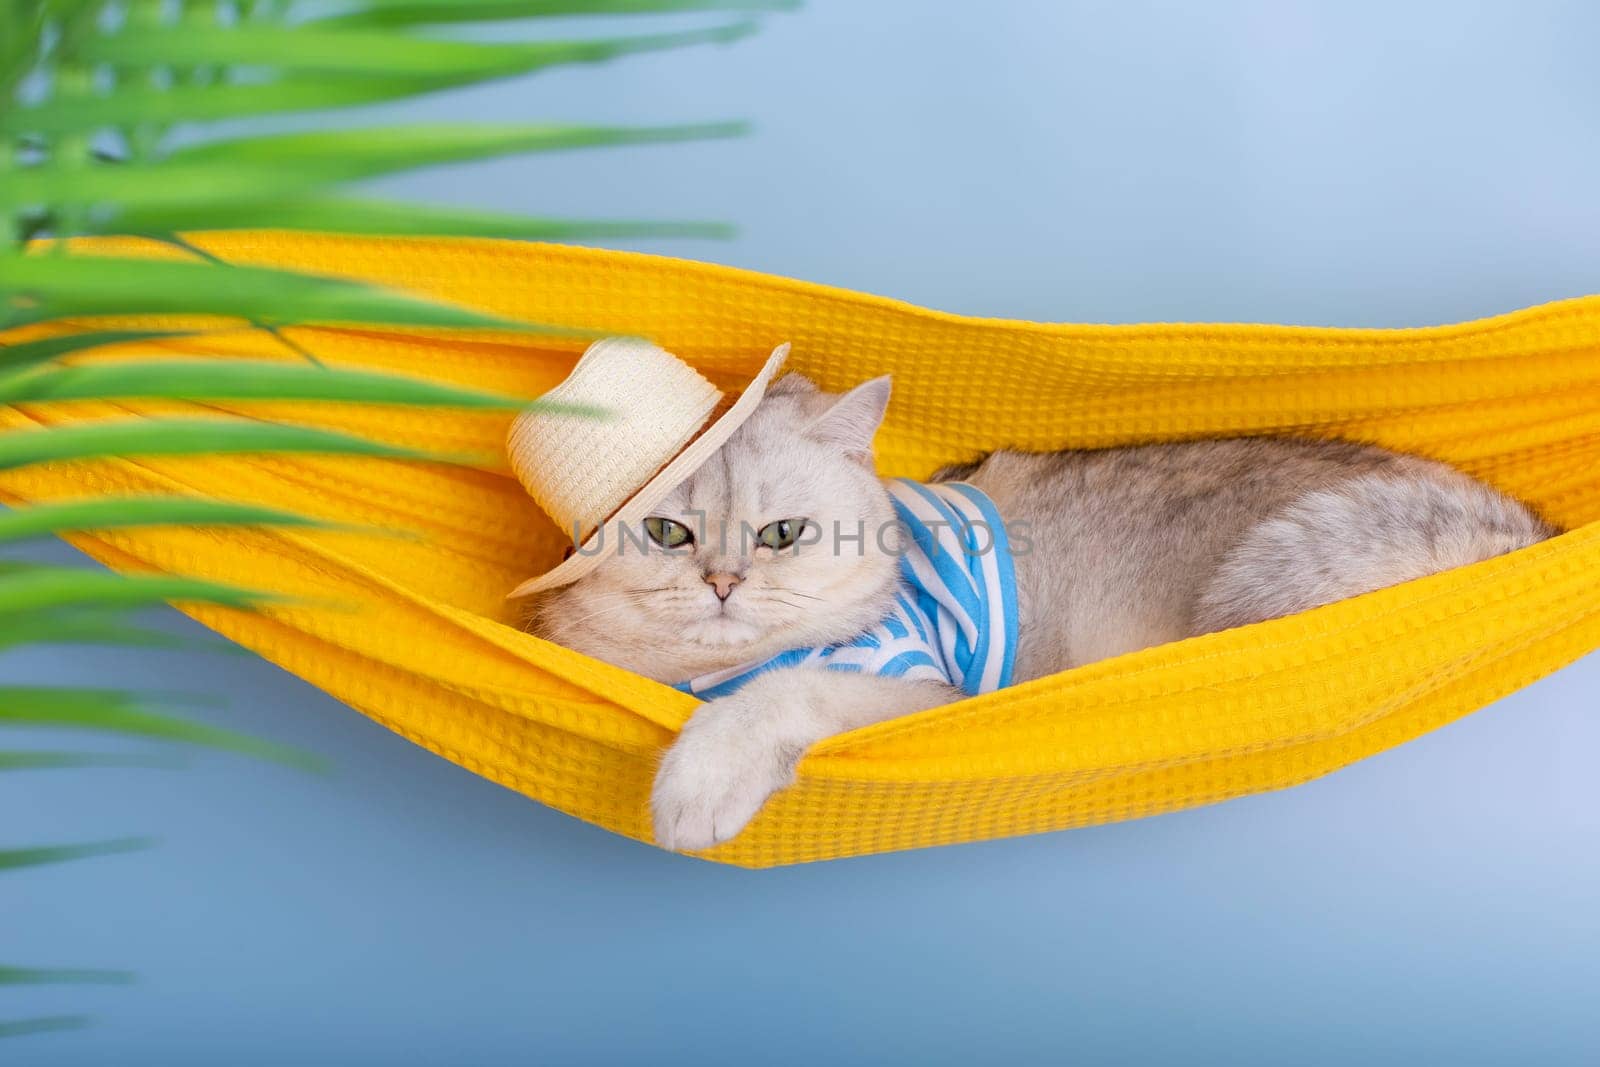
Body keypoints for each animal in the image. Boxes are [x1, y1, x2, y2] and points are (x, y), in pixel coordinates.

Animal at [531, 374, 1555, 851]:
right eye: (666, 531)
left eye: (783, 533)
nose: (723, 583)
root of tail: (1521, 530)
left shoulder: (924, 695)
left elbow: (783, 695)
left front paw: (700, 780)